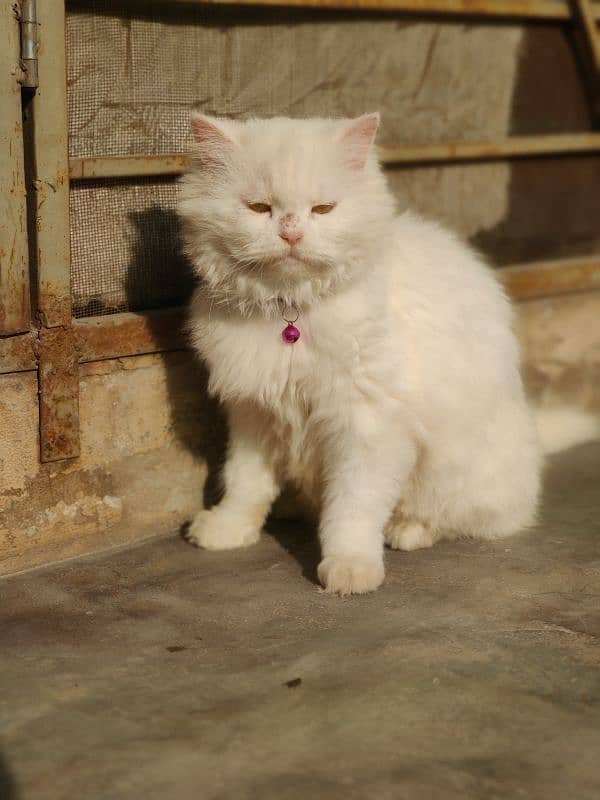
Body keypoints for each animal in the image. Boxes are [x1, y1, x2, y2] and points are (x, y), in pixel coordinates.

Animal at [178, 115, 544, 596]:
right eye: (259, 208)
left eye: (323, 209)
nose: (291, 232)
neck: (290, 312)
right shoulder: (254, 413)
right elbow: (244, 483)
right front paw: (227, 530)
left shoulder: (367, 423)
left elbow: (352, 508)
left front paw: (350, 570)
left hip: (459, 468)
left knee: (462, 518)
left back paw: (406, 531)